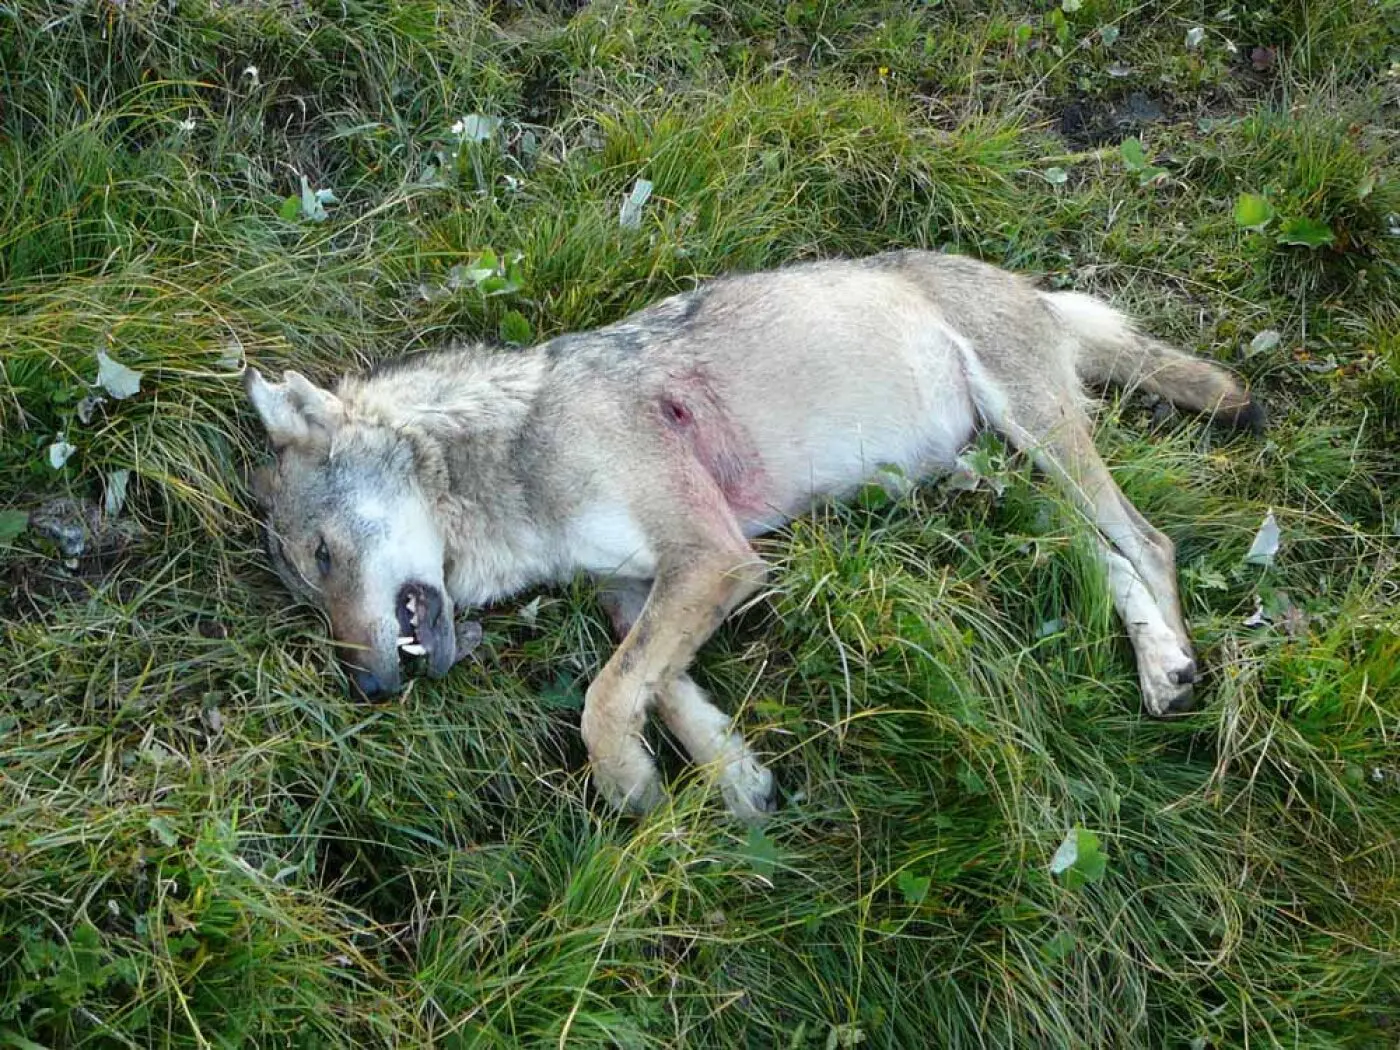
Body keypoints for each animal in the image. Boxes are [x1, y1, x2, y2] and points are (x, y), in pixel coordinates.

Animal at [245, 249, 1261, 819]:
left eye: (325, 558)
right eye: (309, 591)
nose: (368, 688)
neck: (514, 457)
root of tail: (1030, 287)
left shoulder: (714, 558)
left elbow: (604, 698)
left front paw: (626, 785)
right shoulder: (638, 593)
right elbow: (663, 694)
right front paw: (738, 784)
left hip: (1038, 441)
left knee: (1150, 542)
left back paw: (1180, 677)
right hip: (995, 493)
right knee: (1108, 560)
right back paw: (1160, 664)